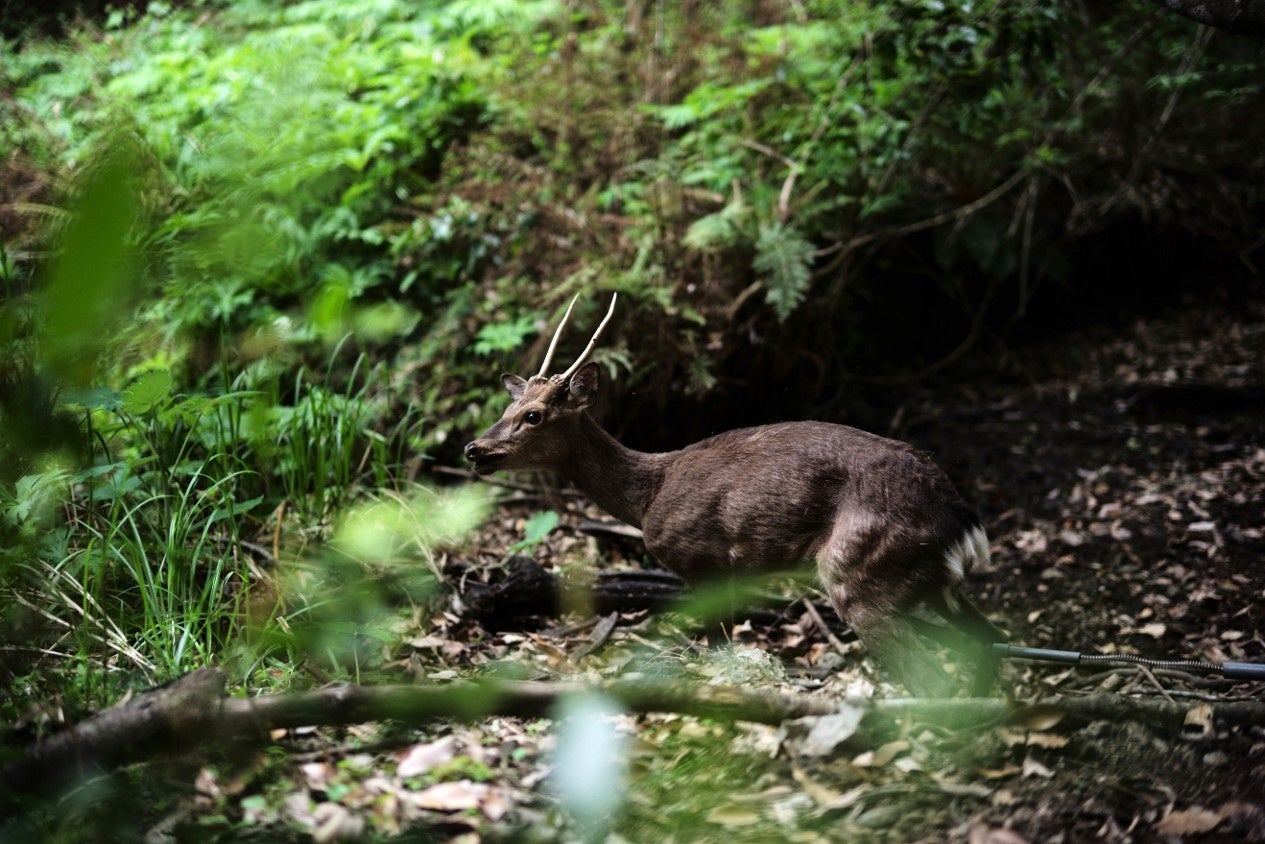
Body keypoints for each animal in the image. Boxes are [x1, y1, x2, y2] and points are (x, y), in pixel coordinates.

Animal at [465, 293, 1006, 698]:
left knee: (926, 671)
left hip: (859, 571)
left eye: (534, 415)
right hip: (935, 586)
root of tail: (962, 522)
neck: (646, 495)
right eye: (508, 406)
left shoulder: (704, 560)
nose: (474, 448)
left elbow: (719, 650)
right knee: (990, 641)